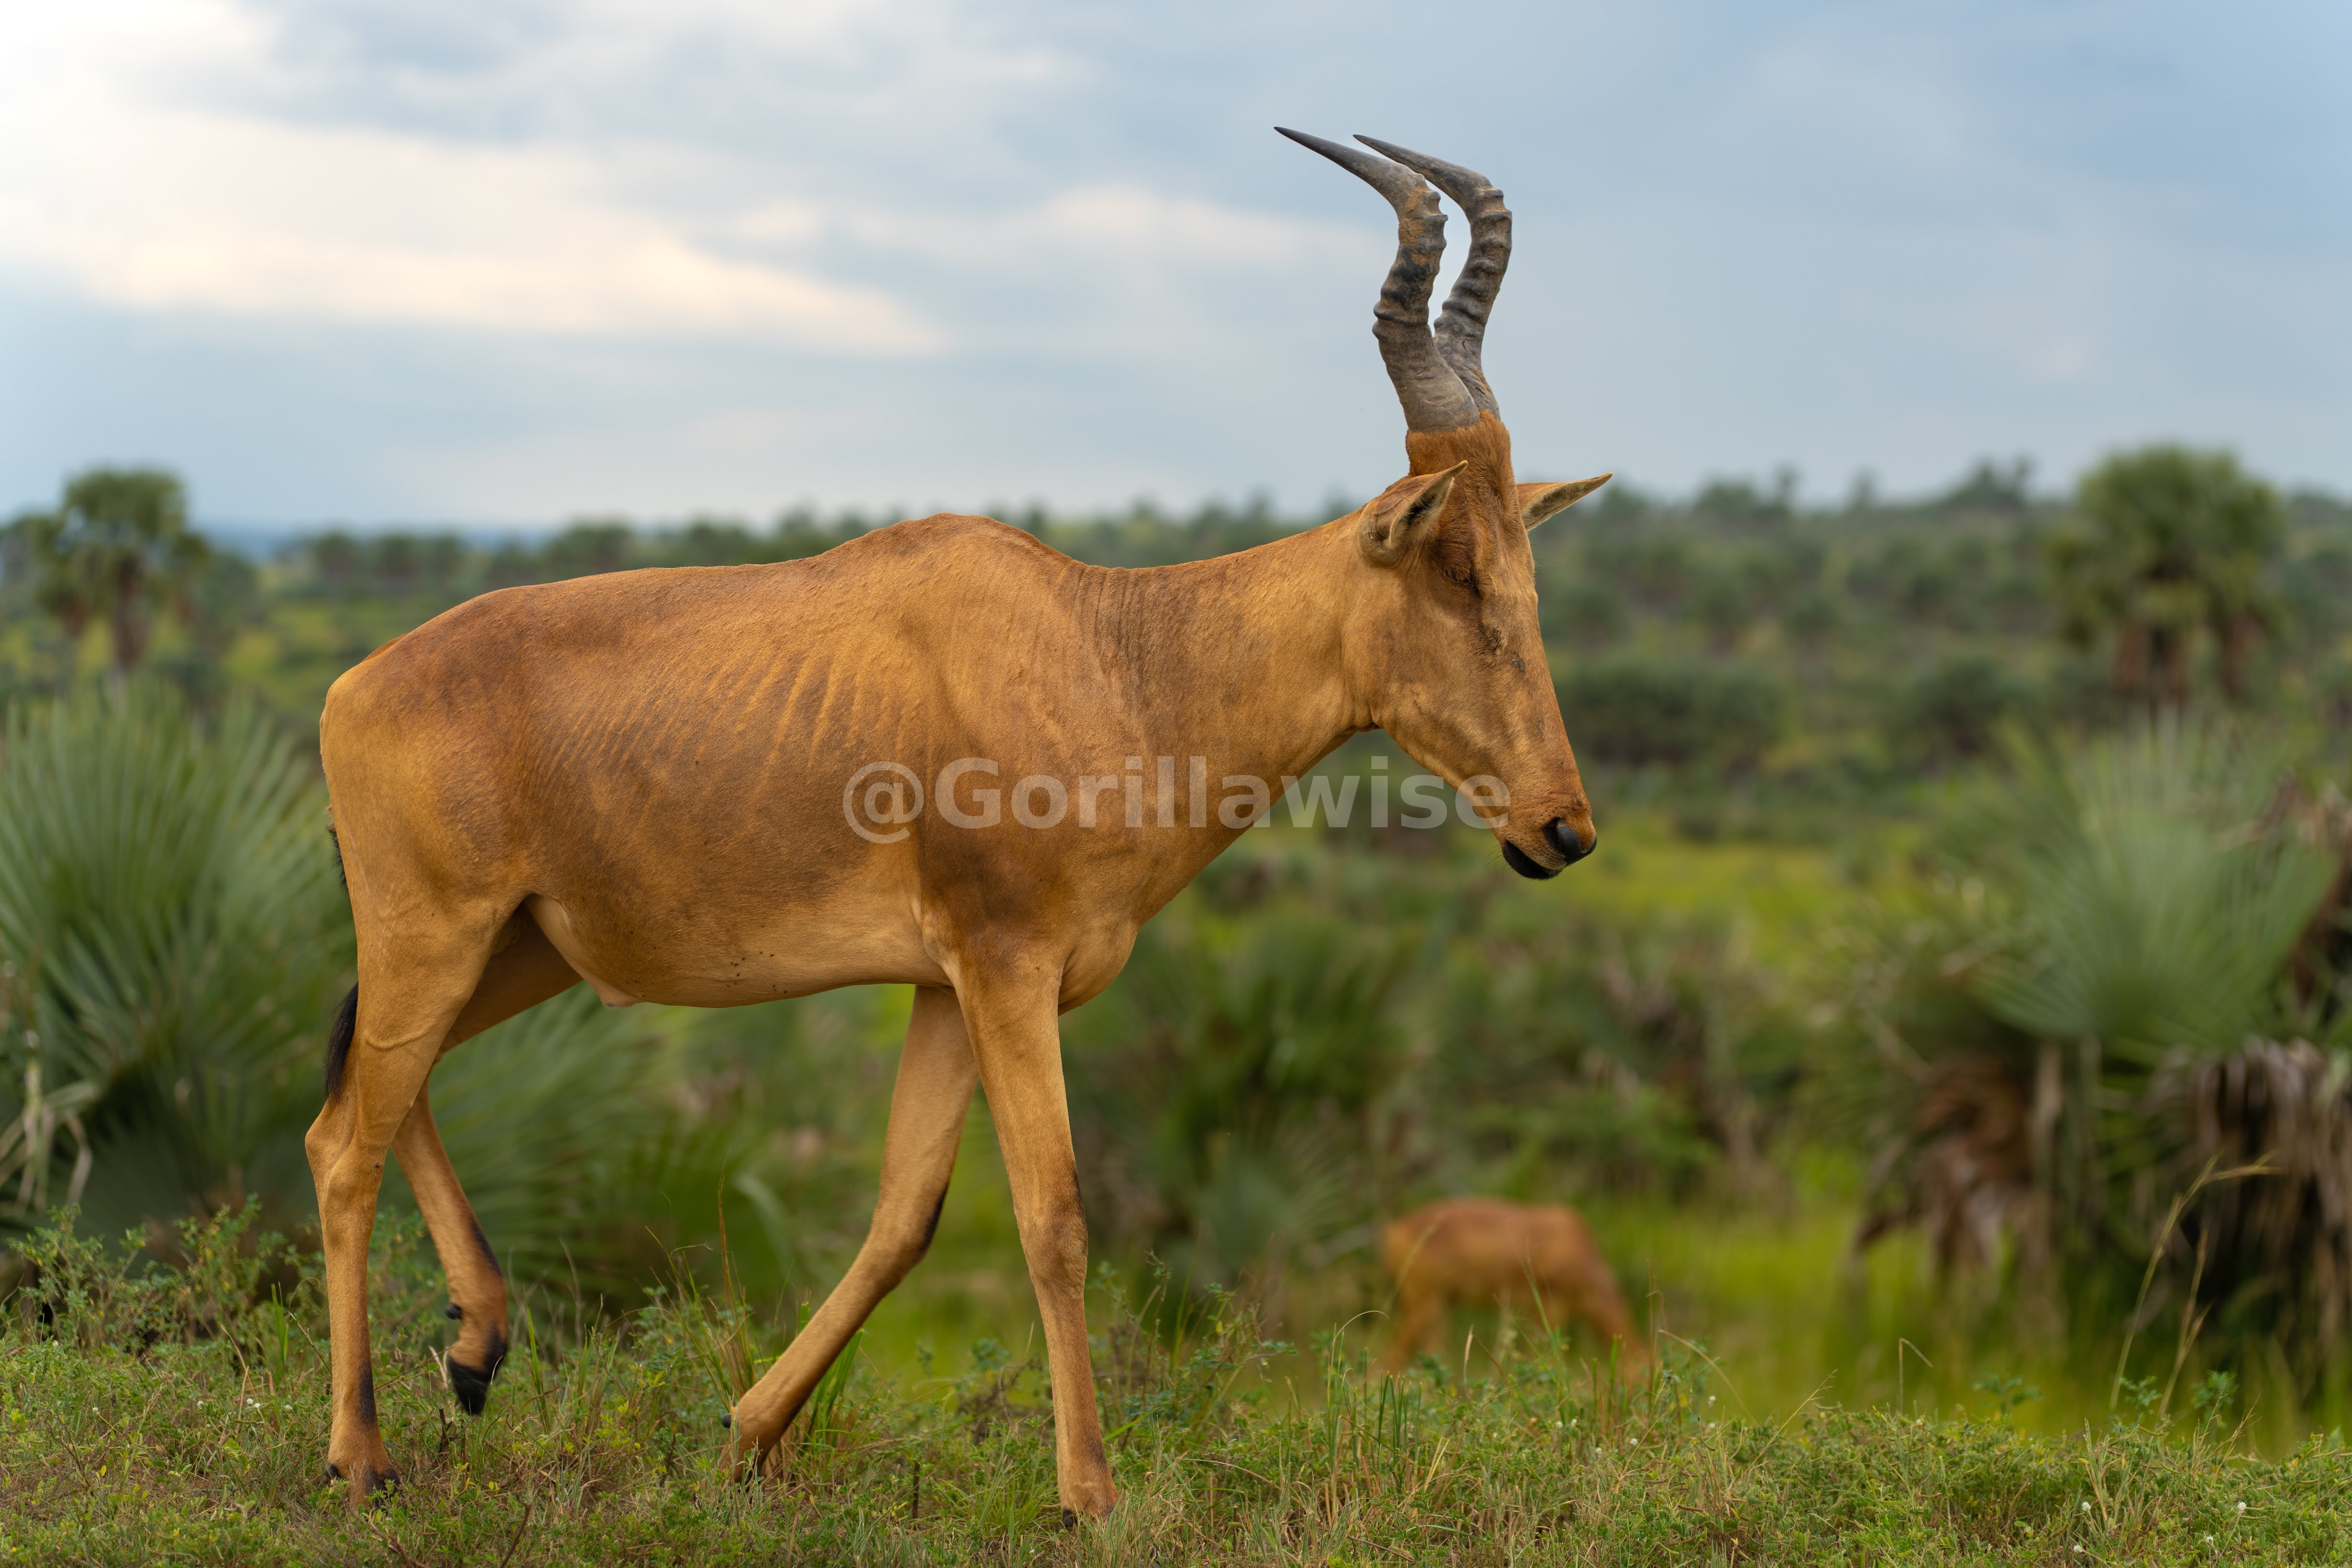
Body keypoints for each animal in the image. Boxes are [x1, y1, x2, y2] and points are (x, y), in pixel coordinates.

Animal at [305, 129, 1607, 1519]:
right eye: (1453, 566)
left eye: (1525, 566)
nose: (1559, 831)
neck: (1110, 647)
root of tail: (353, 686)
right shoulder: (1005, 967)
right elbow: (1053, 1214)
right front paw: (1088, 1492)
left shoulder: (941, 985)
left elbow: (902, 1217)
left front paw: (746, 1431)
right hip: (434, 934)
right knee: (345, 1138)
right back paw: (360, 1452)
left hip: (521, 949)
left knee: (378, 1090)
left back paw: (475, 1348)